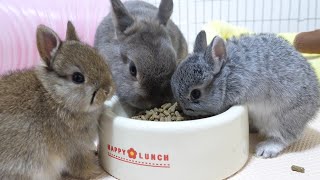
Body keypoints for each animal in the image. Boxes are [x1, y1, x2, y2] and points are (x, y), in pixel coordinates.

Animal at [0, 21, 114, 180]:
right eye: (77, 77)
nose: (108, 90)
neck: (56, 98)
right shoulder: (75, 150)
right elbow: (81, 165)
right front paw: (95, 172)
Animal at [172, 31, 320, 158]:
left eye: (195, 94)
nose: (184, 109)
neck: (226, 76)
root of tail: (314, 106)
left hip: (284, 117)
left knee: (286, 137)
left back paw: (266, 148)